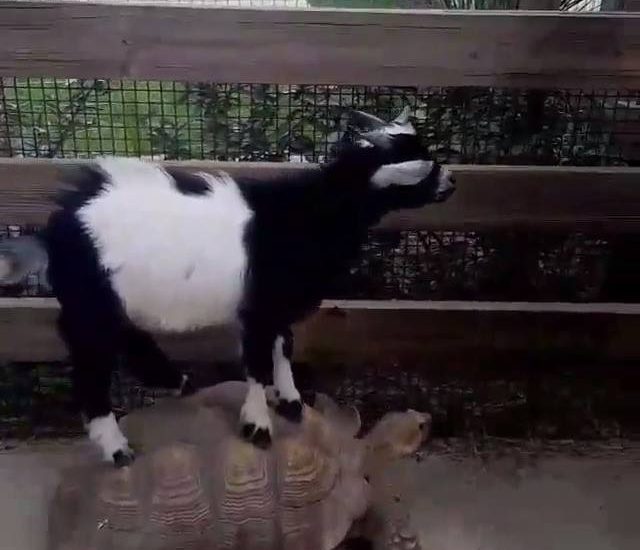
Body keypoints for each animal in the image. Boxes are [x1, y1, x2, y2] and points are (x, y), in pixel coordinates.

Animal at [0, 108, 455, 466]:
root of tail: (53, 234)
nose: (451, 183)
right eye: (426, 169)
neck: (306, 214)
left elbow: (282, 348)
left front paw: (291, 402)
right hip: (90, 305)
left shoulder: (274, 305)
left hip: (109, 299)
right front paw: (258, 425)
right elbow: (256, 363)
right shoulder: (258, 307)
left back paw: (177, 381)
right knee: (92, 373)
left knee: (131, 339)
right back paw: (118, 449)